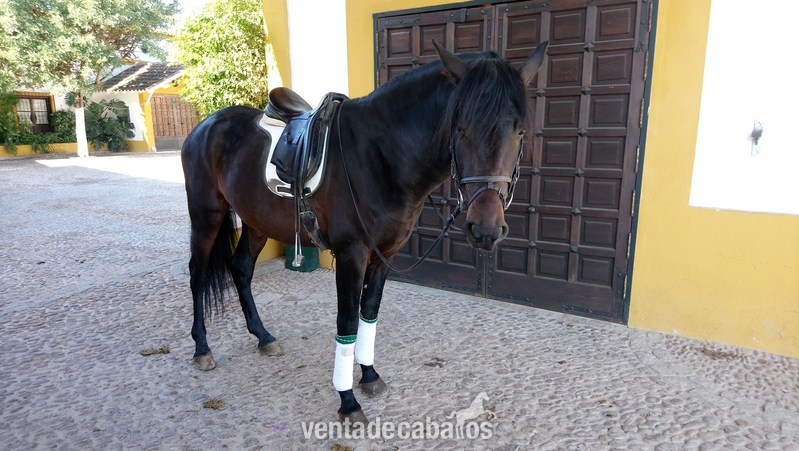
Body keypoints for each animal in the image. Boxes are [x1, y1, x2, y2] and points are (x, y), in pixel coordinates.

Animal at [180, 40, 548, 423]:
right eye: (460, 128)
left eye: (520, 131)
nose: (485, 228)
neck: (381, 154)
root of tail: (207, 125)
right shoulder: (350, 253)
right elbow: (347, 323)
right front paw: (347, 400)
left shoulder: (386, 253)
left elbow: (368, 313)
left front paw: (369, 375)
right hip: (206, 215)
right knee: (198, 273)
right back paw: (202, 348)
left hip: (256, 221)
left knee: (241, 270)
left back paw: (264, 337)